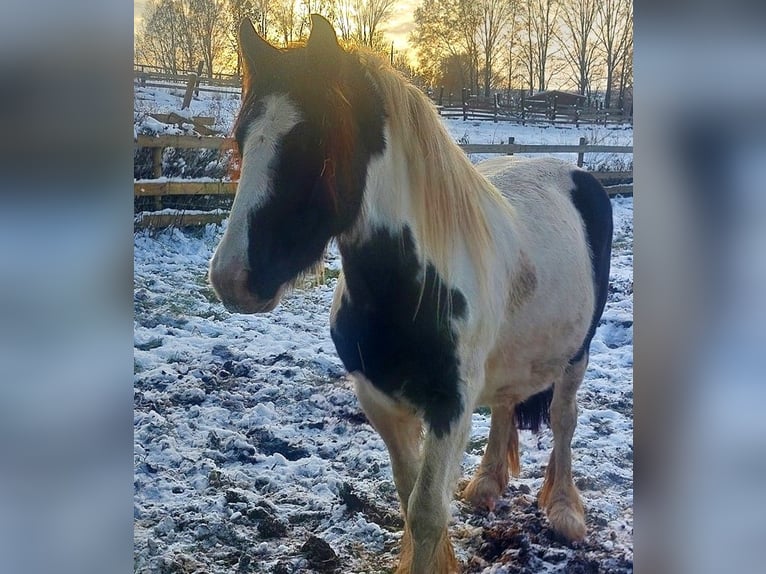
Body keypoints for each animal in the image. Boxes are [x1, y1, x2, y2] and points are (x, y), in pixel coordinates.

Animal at [208, 14, 612, 574]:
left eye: (314, 143)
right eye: (242, 138)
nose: (231, 278)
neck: (410, 292)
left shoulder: (449, 407)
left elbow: (425, 513)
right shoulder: (380, 400)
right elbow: (407, 495)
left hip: (577, 354)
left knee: (563, 419)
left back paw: (565, 510)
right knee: (507, 403)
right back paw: (486, 484)